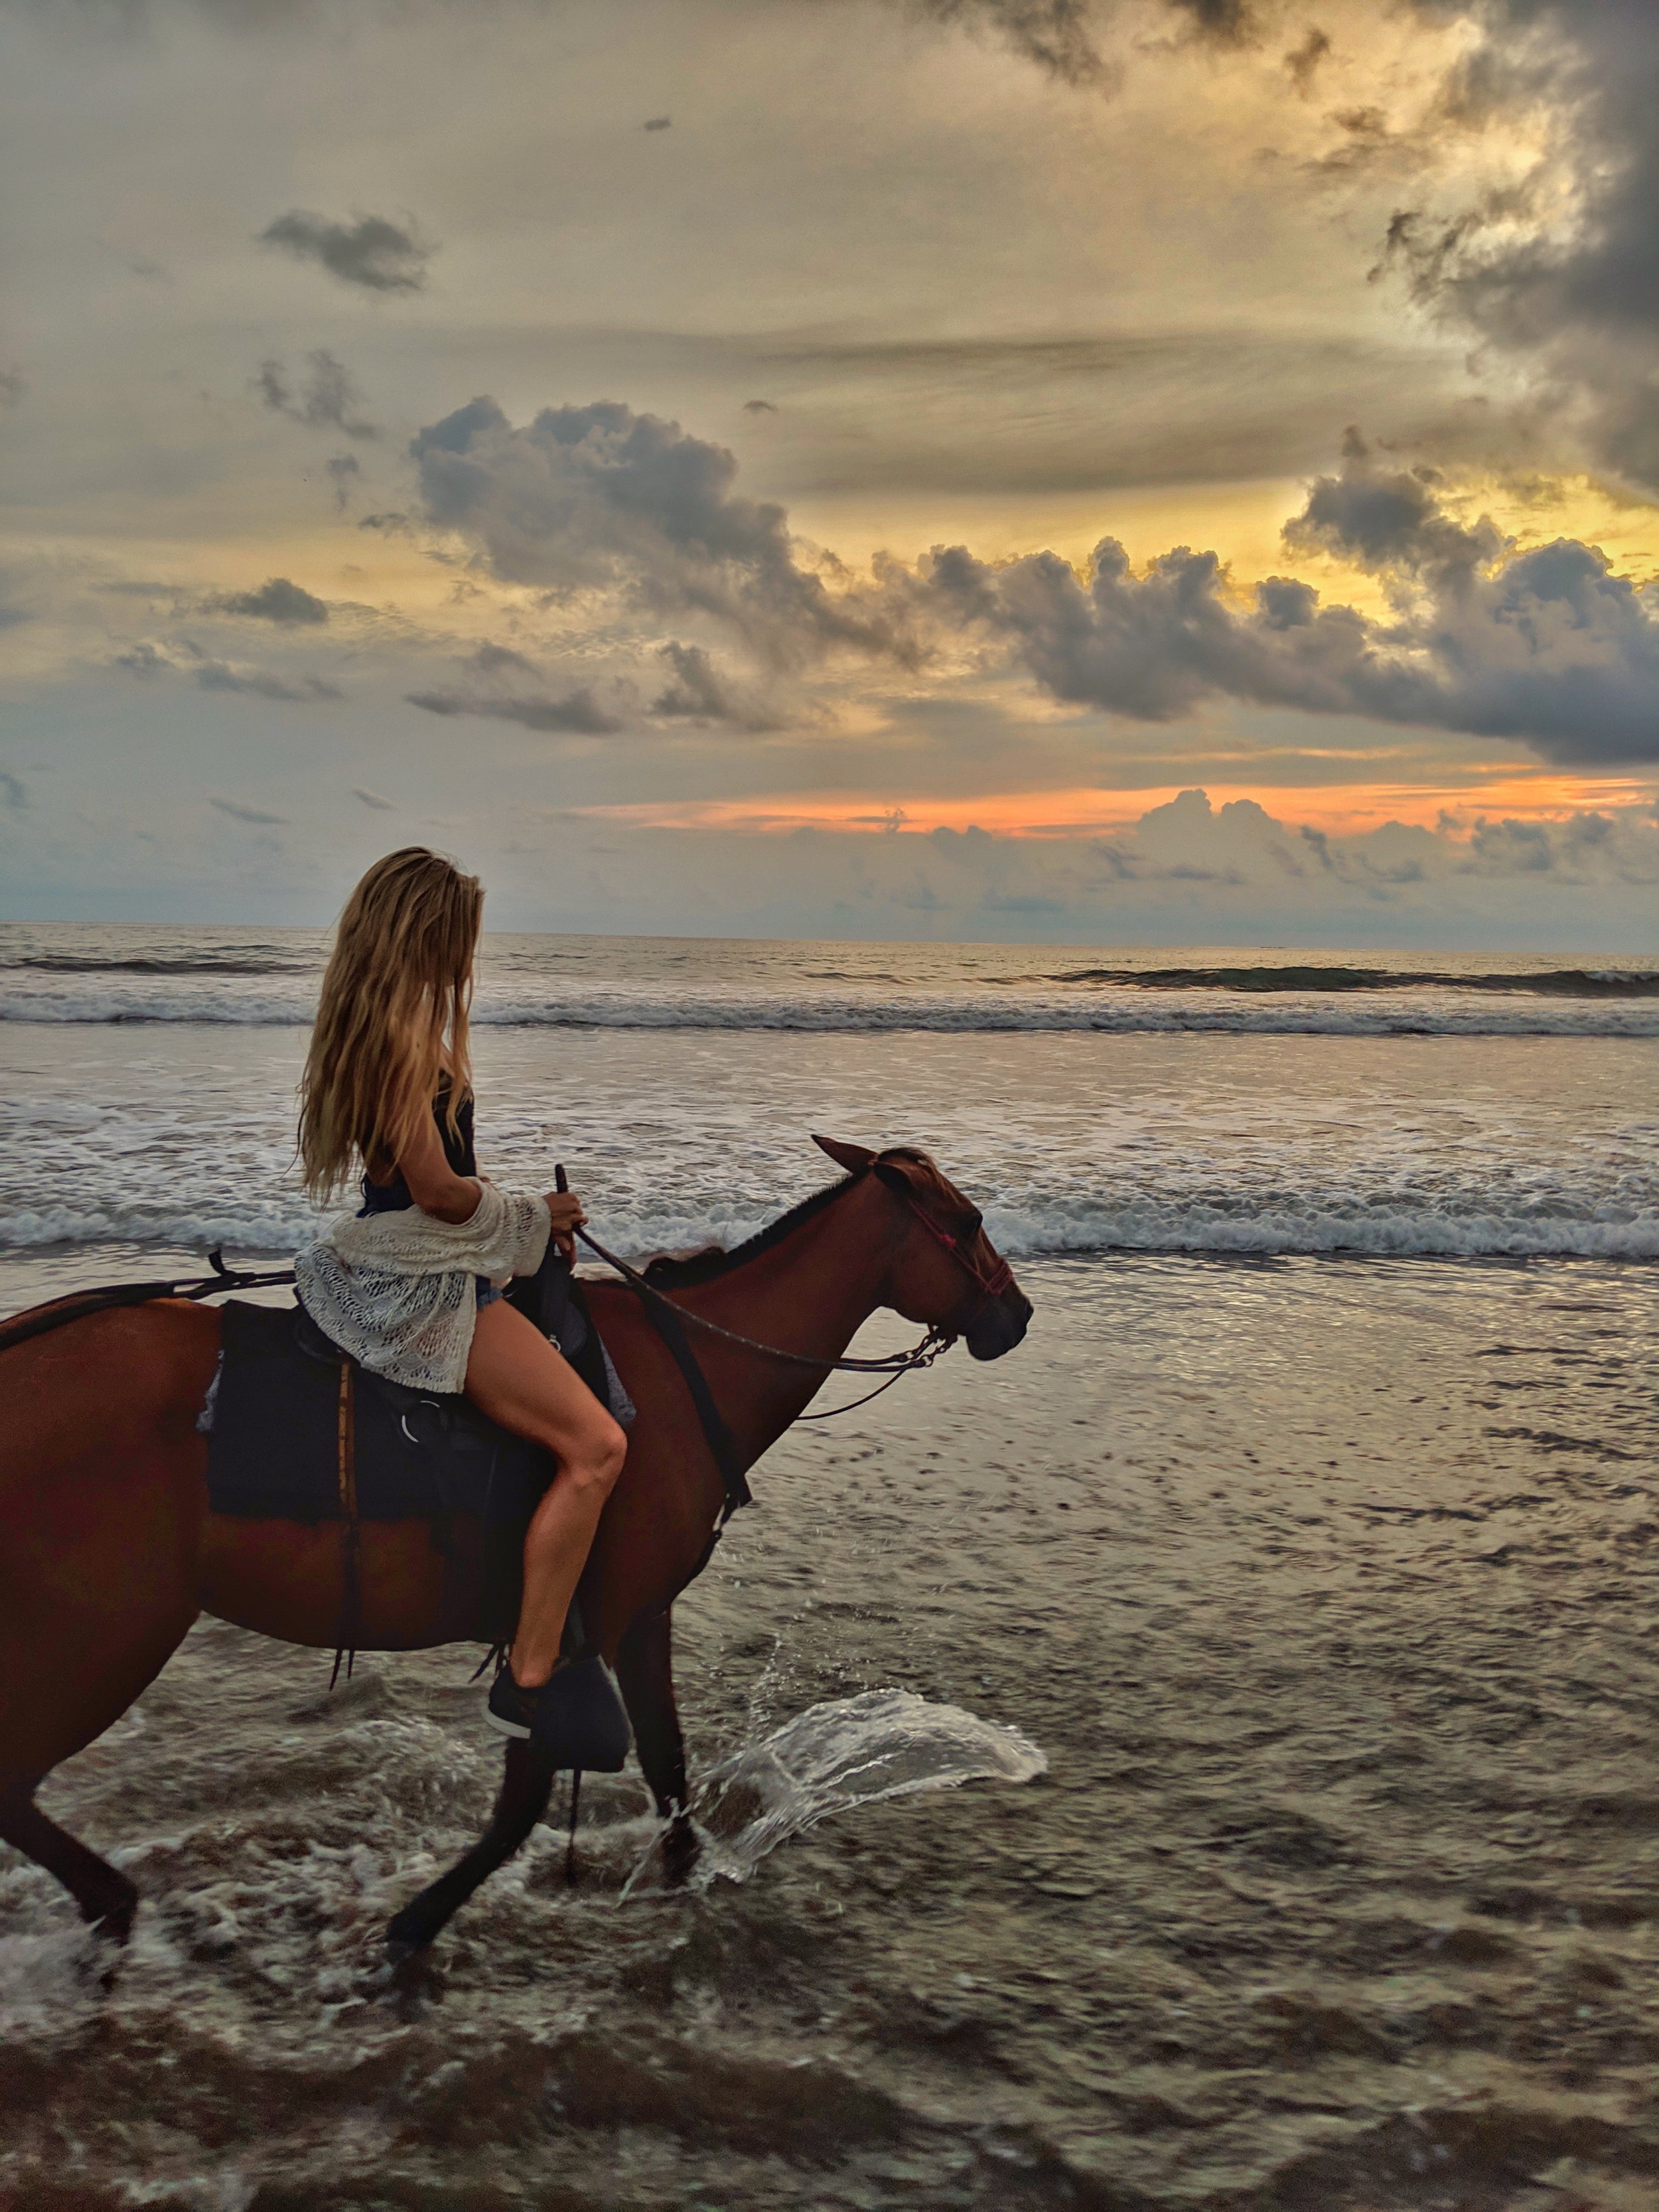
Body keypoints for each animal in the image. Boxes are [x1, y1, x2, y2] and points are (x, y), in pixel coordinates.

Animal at [0, 1150, 1035, 1964]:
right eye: (968, 1221)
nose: (1017, 1316)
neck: (687, 1371)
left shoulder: (626, 1619)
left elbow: (664, 1767)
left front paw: (679, 1873)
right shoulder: (590, 1625)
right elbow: (537, 1794)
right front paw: (416, 1925)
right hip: (109, 1633)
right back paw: (113, 1906)